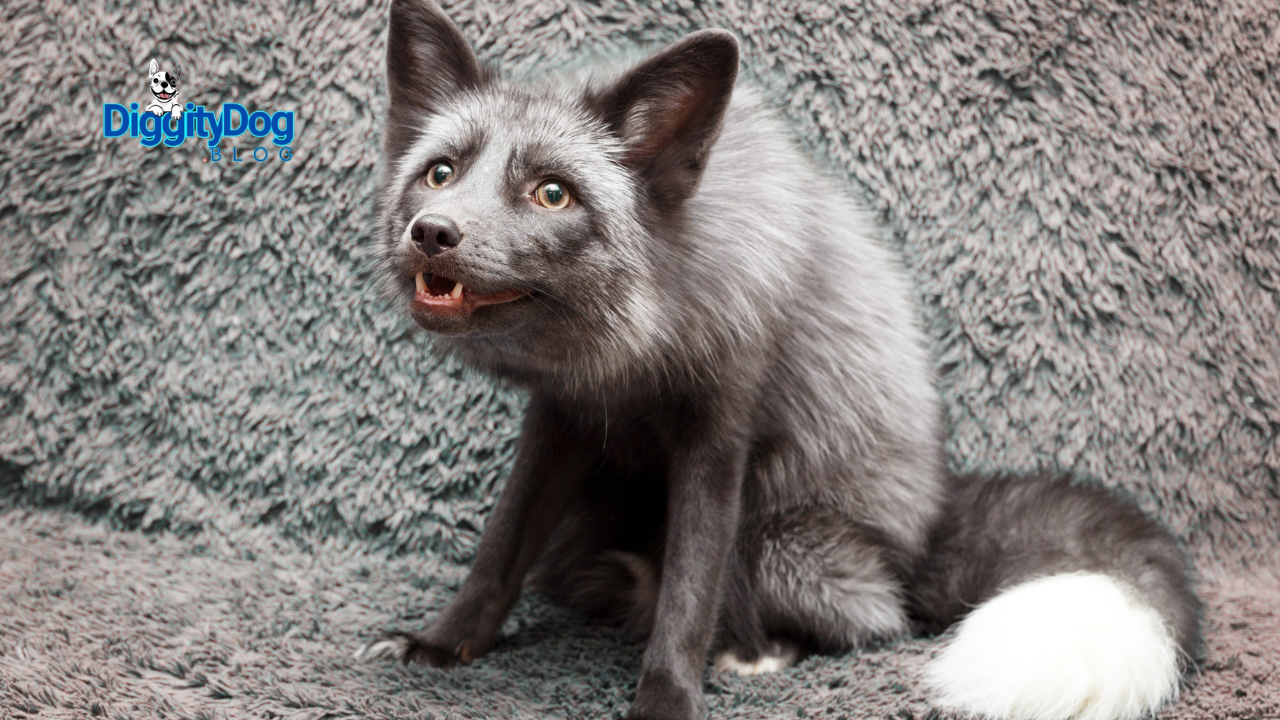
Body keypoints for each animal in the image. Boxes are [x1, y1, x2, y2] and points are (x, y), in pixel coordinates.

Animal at [358, 1, 1204, 719]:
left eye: (553, 193)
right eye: (440, 173)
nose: (433, 233)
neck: (637, 344)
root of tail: (932, 521)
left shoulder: (719, 436)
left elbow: (690, 594)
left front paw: (667, 698)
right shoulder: (561, 417)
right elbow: (500, 548)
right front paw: (442, 643)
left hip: (776, 542)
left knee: (876, 619)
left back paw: (763, 650)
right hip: (591, 536)